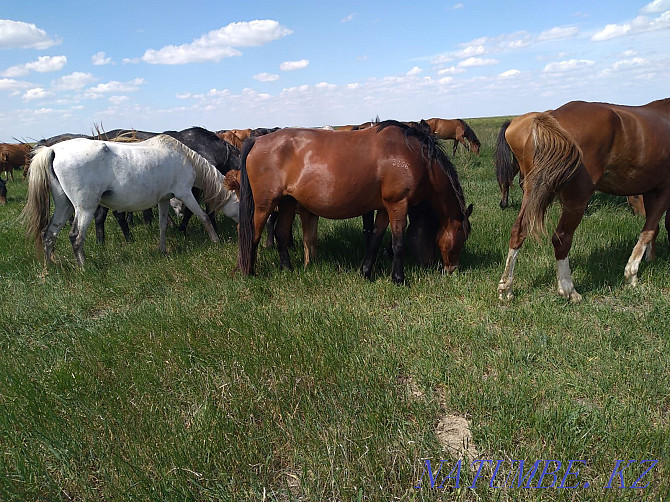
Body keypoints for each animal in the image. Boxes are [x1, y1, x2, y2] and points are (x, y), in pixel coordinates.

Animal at [21, 133, 240, 266]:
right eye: (238, 202)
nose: (240, 226)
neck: (185, 158)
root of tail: (53, 150)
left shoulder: (164, 199)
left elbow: (162, 226)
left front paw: (162, 250)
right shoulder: (185, 193)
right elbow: (203, 216)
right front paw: (215, 240)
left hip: (64, 206)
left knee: (49, 234)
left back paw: (50, 267)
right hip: (84, 208)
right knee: (75, 237)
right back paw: (83, 268)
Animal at [236, 118, 472, 282]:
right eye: (462, 237)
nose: (452, 269)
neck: (416, 157)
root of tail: (257, 140)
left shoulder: (385, 208)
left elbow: (376, 238)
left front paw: (366, 272)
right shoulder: (398, 205)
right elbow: (398, 242)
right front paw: (398, 279)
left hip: (287, 202)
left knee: (281, 234)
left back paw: (287, 269)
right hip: (265, 204)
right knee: (254, 235)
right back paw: (250, 272)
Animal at [496, 99, 670, 300]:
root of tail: (550, 117)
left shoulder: (651, 190)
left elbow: (654, 229)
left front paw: (650, 258)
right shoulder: (664, 190)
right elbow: (649, 230)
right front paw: (632, 274)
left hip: (533, 191)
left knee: (519, 230)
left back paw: (506, 286)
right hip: (576, 200)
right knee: (561, 238)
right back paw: (568, 290)